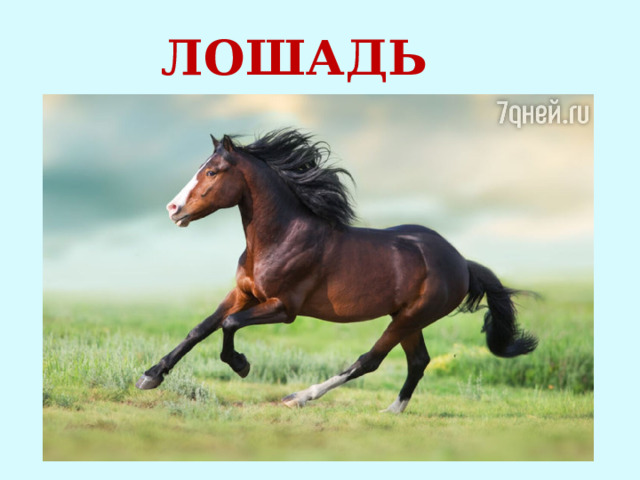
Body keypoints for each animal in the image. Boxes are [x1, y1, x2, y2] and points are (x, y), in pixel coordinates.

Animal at [136, 128, 538, 413]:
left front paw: (241, 365)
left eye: (212, 172)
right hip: (408, 319)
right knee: (418, 361)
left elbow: (229, 325)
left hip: (410, 317)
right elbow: (200, 328)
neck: (281, 237)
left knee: (369, 361)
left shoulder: (284, 308)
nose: (173, 209)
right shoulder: (244, 293)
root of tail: (462, 263)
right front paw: (150, 376)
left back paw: (299, 397)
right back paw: (392, 411)